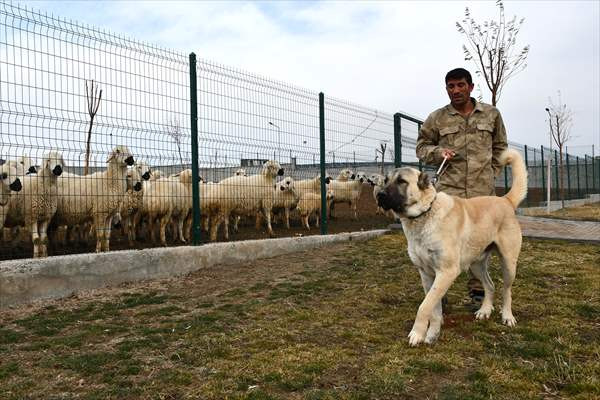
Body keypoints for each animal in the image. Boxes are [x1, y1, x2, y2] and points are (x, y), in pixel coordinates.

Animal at [378, 148, 528, 346]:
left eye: (402, 181)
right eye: (386, 180)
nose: (379, 195)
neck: (425, 214)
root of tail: (505, 200)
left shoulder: (447, 272)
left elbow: (424, 306)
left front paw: (417, 333)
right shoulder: (427, 274)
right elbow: (433, 307)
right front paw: (431, 333)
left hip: (509, 264)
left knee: (506, 290)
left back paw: (507, 316)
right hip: (475, 264)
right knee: (490, 285)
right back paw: (485, 310)